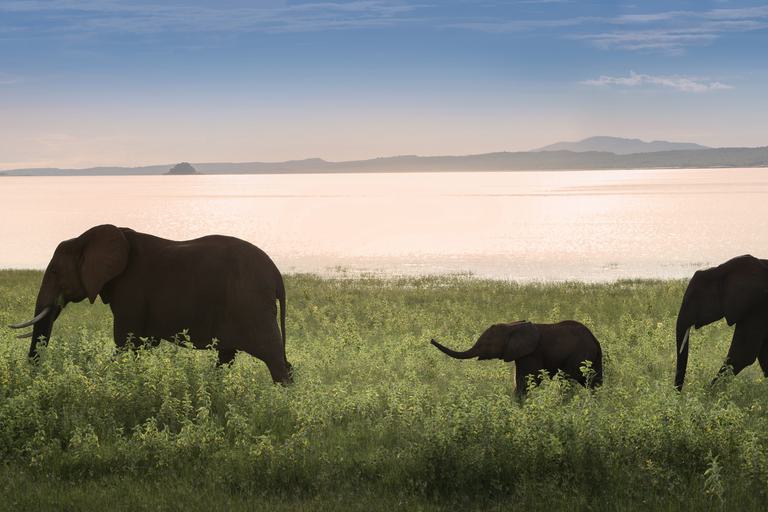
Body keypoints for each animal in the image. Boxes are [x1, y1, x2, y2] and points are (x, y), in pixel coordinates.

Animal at [8, 224, 292, 384]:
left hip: (252, 305)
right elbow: (140, 344)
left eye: (55, 271)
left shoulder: (130, 289)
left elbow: (125, 342)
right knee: (227, 356)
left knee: (275, 360)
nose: (34, 372)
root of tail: (277, 275)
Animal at [431, 320, 603, 396]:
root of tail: (595, 340)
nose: (431, 340)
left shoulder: (532, 353)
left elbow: (528, 380)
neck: (511, 326)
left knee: (567, 380)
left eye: (487, 343)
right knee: (594, 382)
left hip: (579, 355)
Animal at [674, 254, 768, 390]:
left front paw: (708, 393)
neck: (721, 270)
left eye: (694, 298)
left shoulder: (757, 305)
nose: (678, 392)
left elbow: (742, 354)